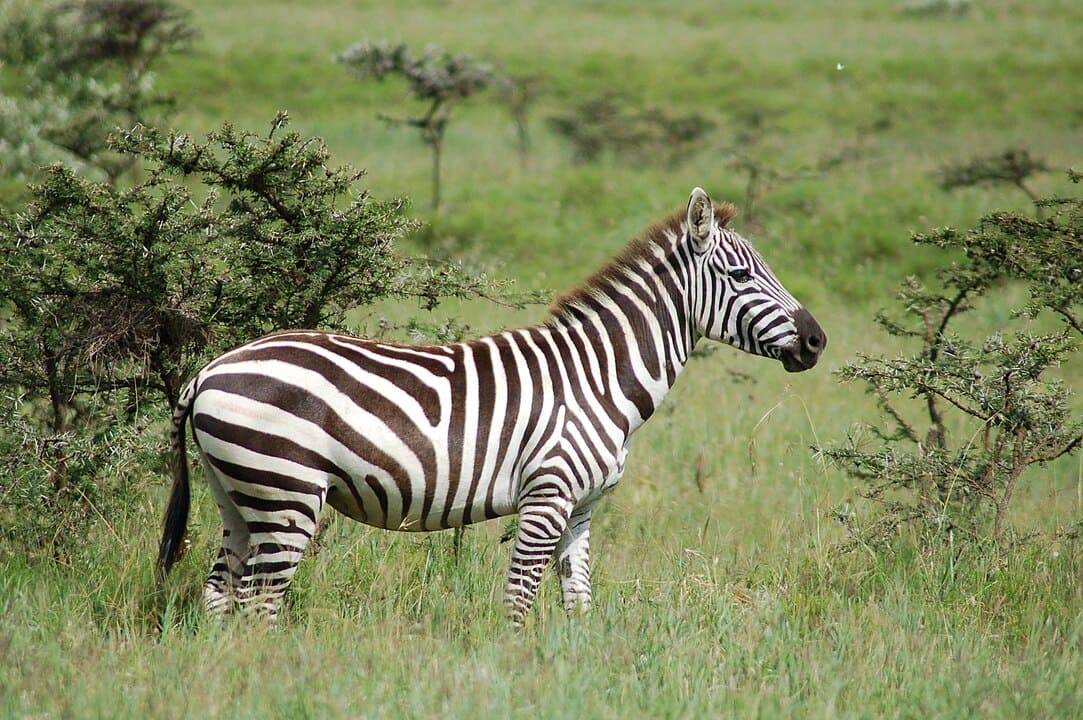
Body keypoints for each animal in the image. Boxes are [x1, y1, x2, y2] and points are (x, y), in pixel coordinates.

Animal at [156, 187, 825, 625]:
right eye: (740, 275)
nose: (817, 341)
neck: (599, 379)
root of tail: (209, 371)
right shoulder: (547, 497)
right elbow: (519, 602)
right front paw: (517, 673)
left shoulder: (582, 508)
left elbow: (578, 603)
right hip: (286, 491)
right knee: (259, 603)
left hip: (239, 494)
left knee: (219, 594)